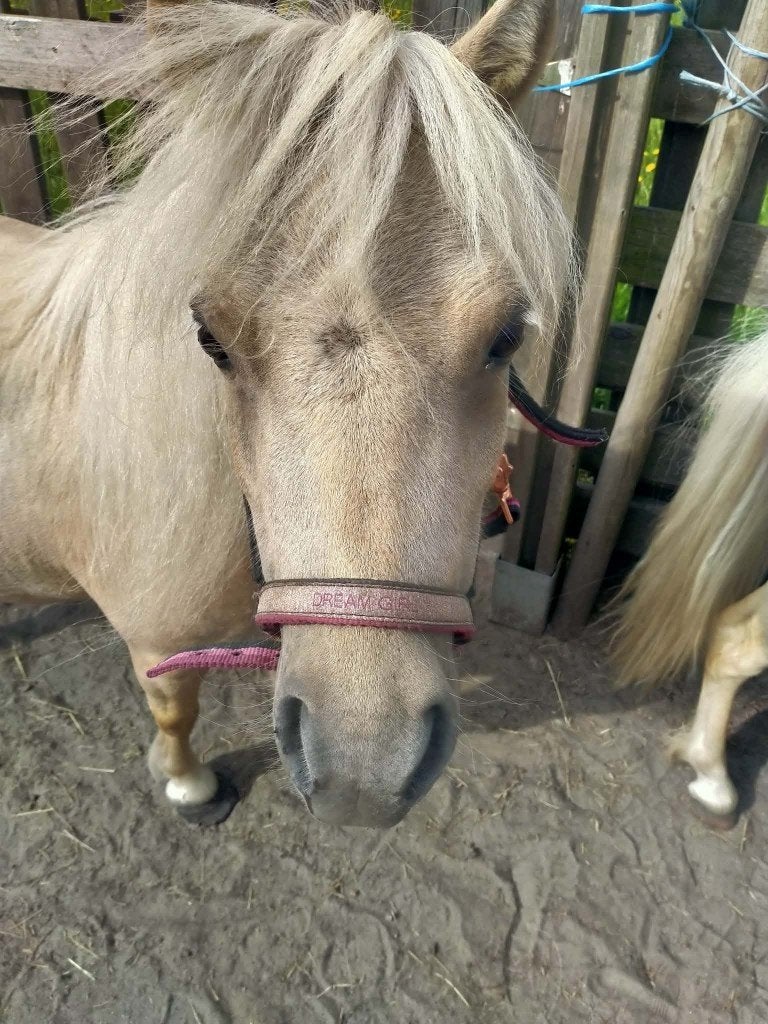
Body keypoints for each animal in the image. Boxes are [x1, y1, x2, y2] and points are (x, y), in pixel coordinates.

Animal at [0, 0, 576, 827]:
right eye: (209, 337)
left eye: (505, 336)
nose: (365, 767)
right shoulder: (155, 640)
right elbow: (175, 709)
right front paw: (188, 784)